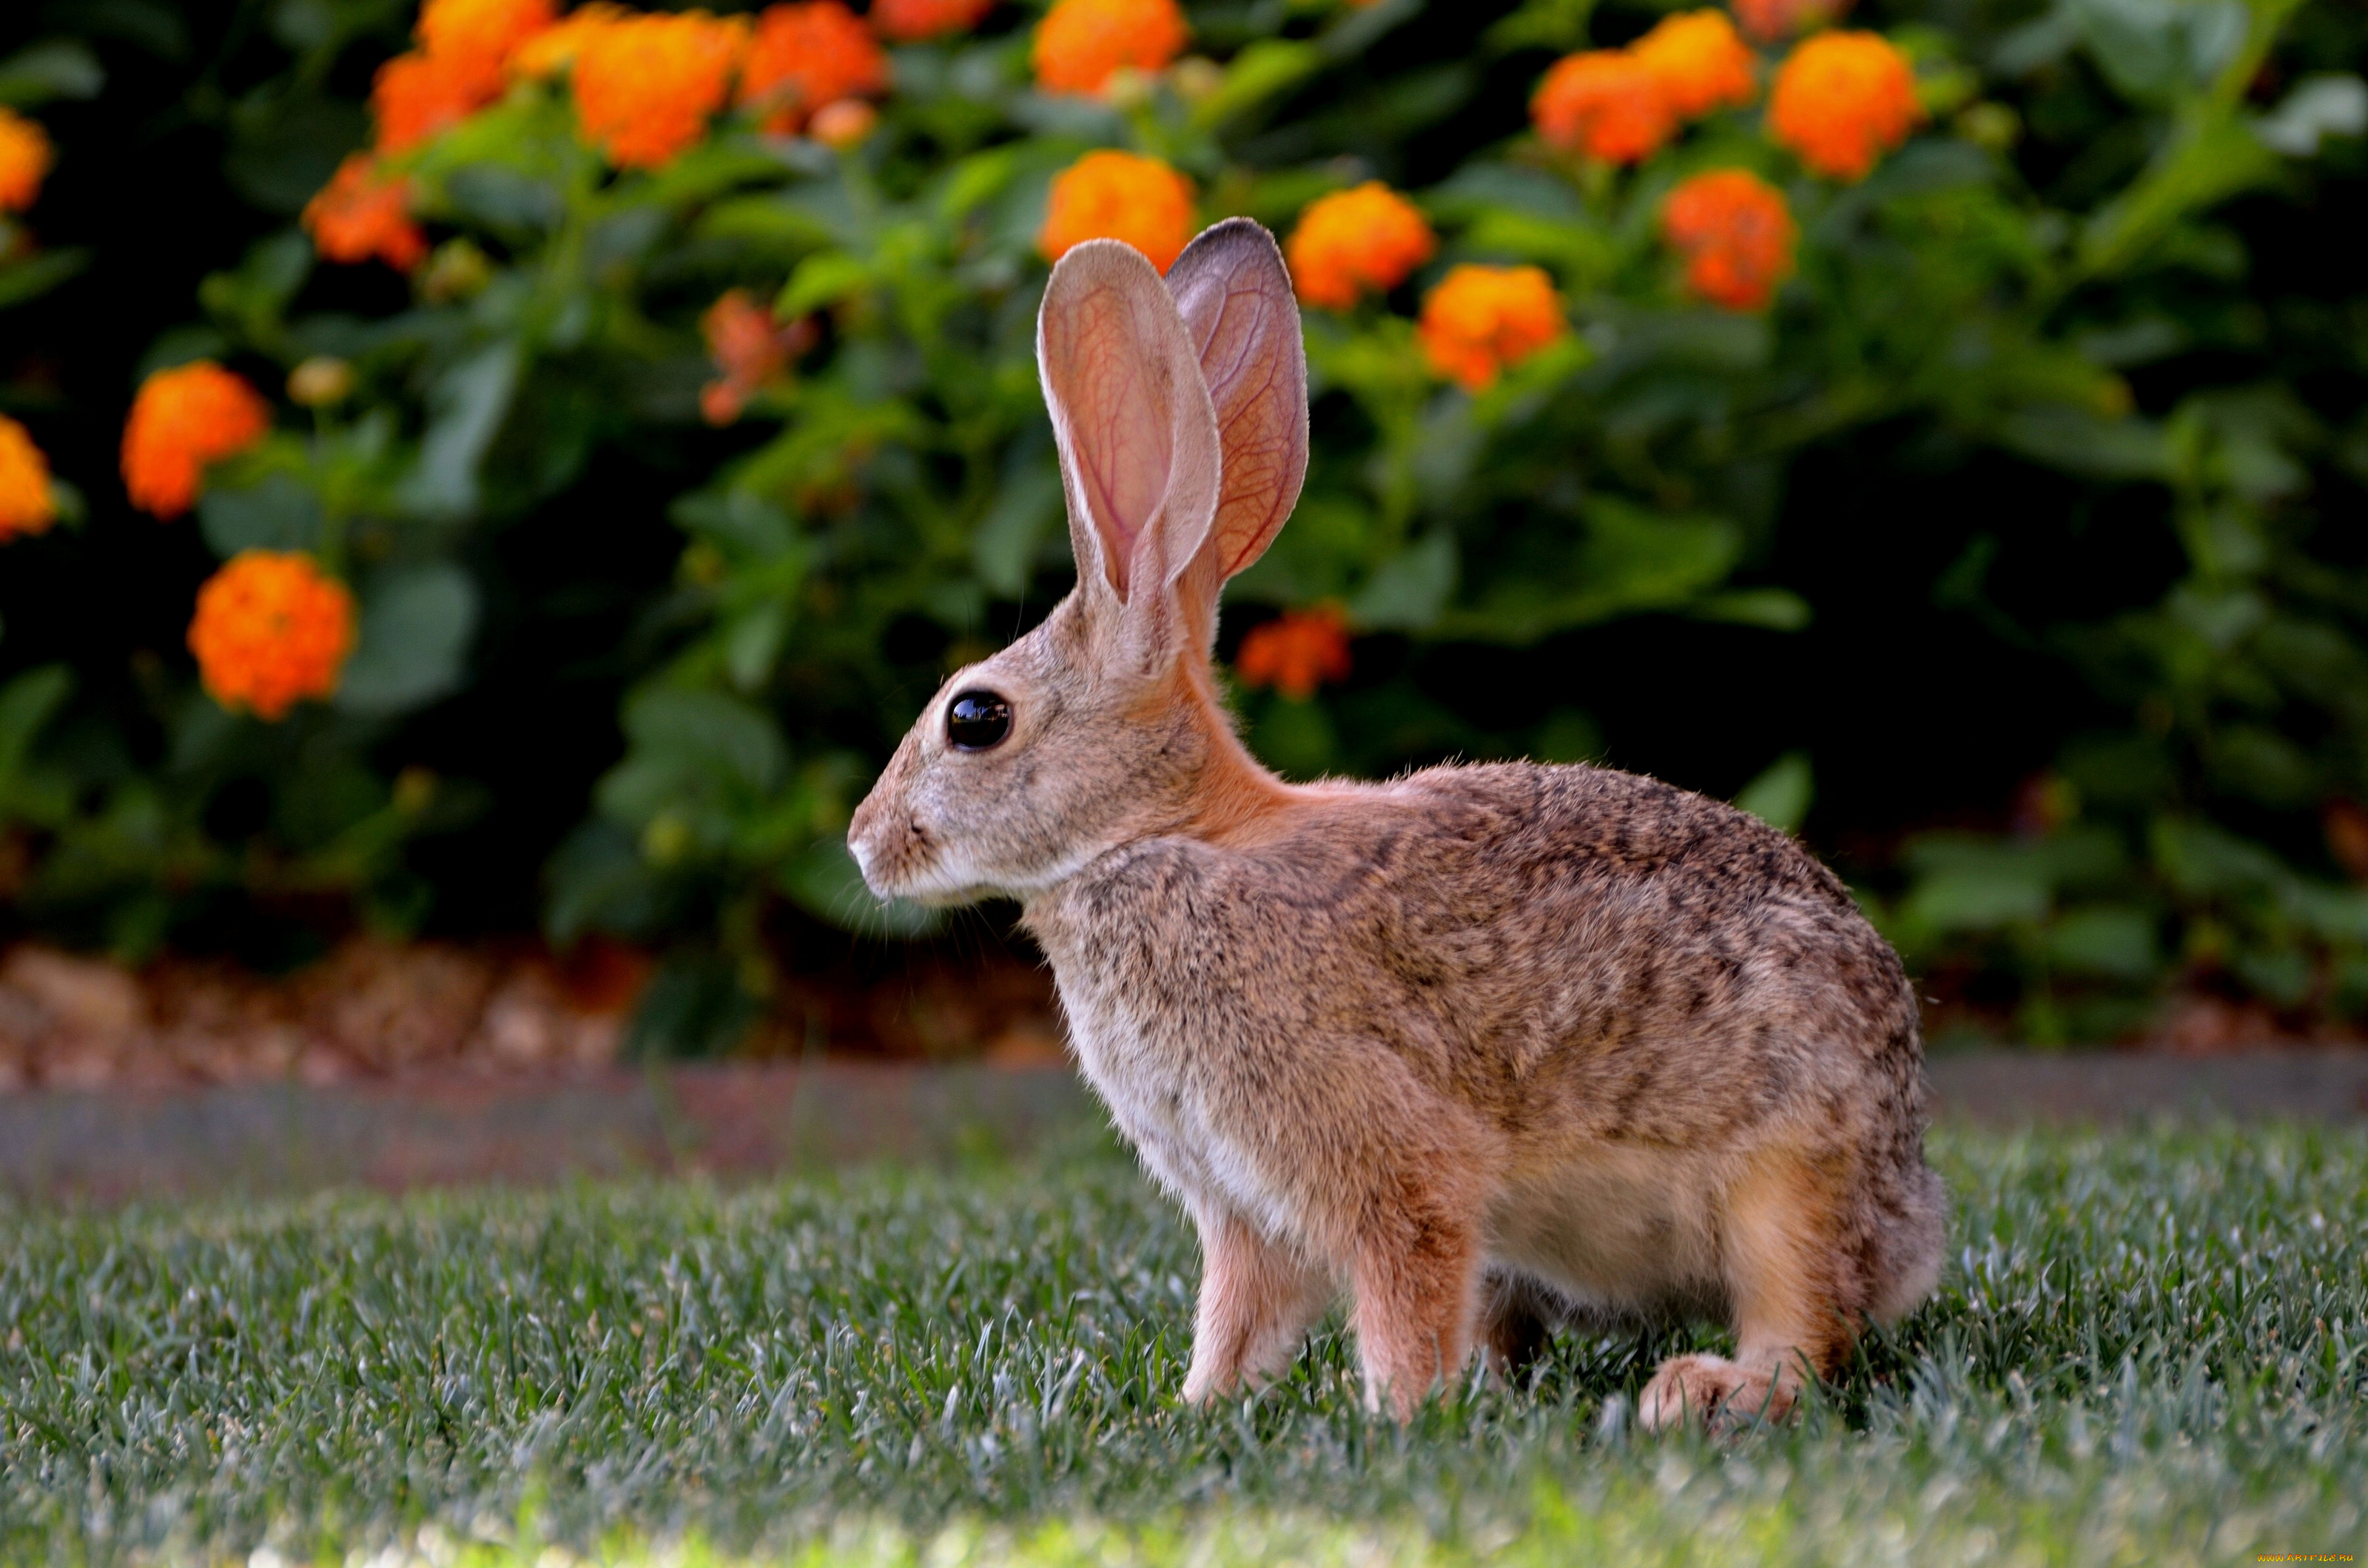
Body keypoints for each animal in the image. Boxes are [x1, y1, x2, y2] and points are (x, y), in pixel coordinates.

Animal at [852, 221, 1942, 1440]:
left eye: (975, 718)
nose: (864, 841)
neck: (1164, 837)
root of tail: (1911, 1210)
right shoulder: (1241, 1202)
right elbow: (1240, 1313)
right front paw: (1200, 1409)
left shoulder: (1374, 1153)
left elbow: (1399, 1276)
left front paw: (1395, 1418)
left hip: (1789, 1174)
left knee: (1806, 1322)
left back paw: (1705, 1390)